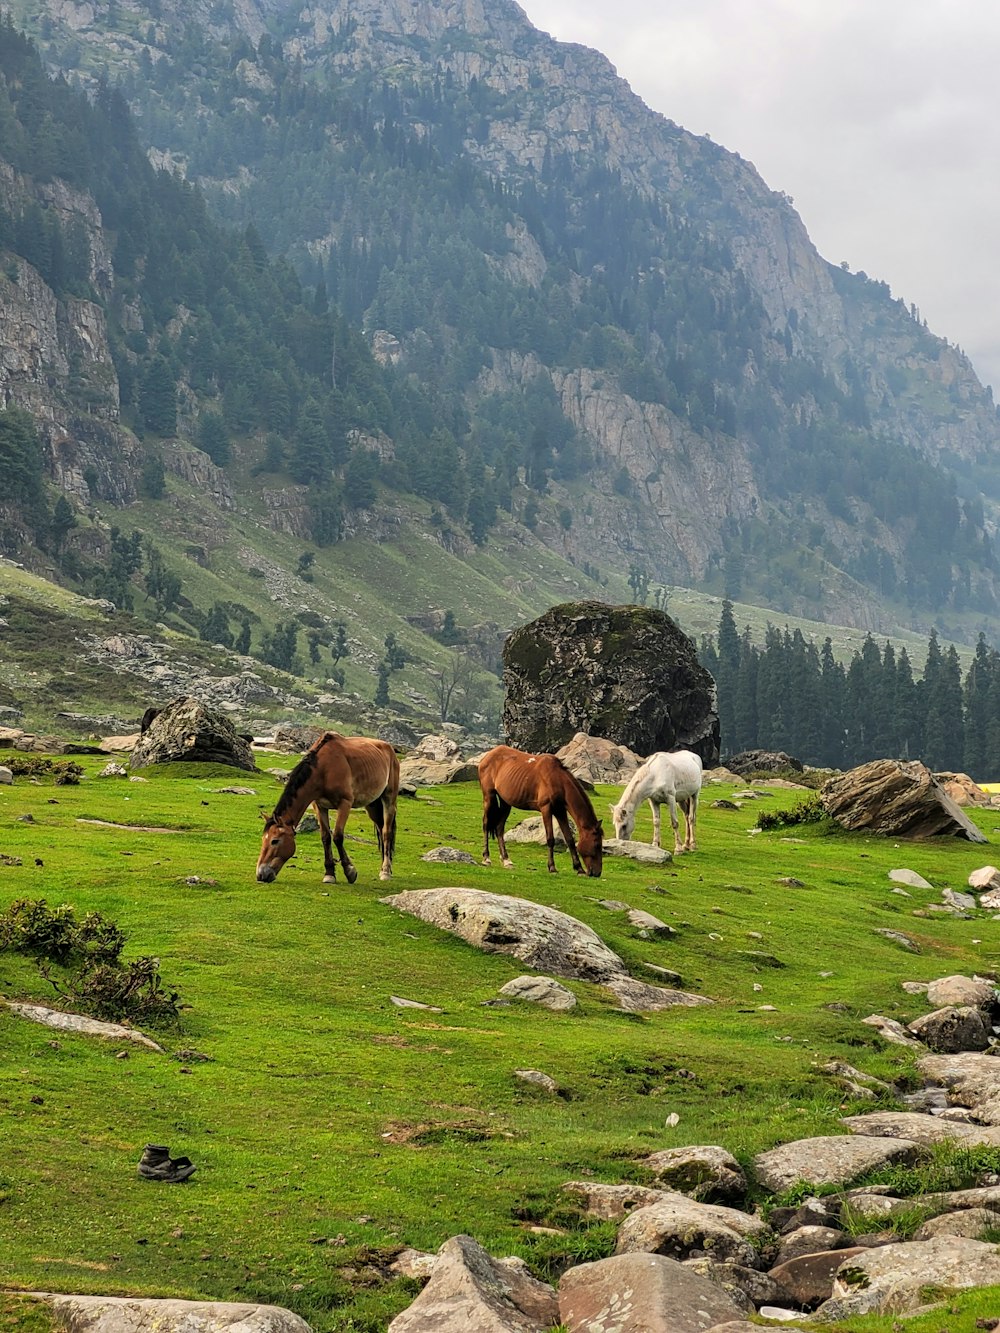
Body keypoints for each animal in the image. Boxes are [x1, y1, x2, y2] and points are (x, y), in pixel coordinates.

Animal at [256, 730, 402, 885]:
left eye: (275, 841)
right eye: (263, 839)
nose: (261, 875)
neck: (324, 769)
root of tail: (389, 748)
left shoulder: (345, 804)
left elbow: (337, 836)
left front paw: (350, 871)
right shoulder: (319, 806)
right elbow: (325, 837)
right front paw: (329, 874)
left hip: (389, 800)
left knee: (386, 832)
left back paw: (386, 871)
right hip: (372, 805)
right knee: (381, 829)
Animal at [482, 746, 608, 879]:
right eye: (596, 844)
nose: (597, 873)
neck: (558, 779)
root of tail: (488, 755)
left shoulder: (560, 811)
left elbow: (569, 839)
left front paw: (579, 869)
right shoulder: (546, 809)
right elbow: (550, 839)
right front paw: (552, 867)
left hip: (506, 803)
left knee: (499, 828)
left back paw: (507, 860)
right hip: (489, 797)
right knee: (485, 824)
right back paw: (486, 858)